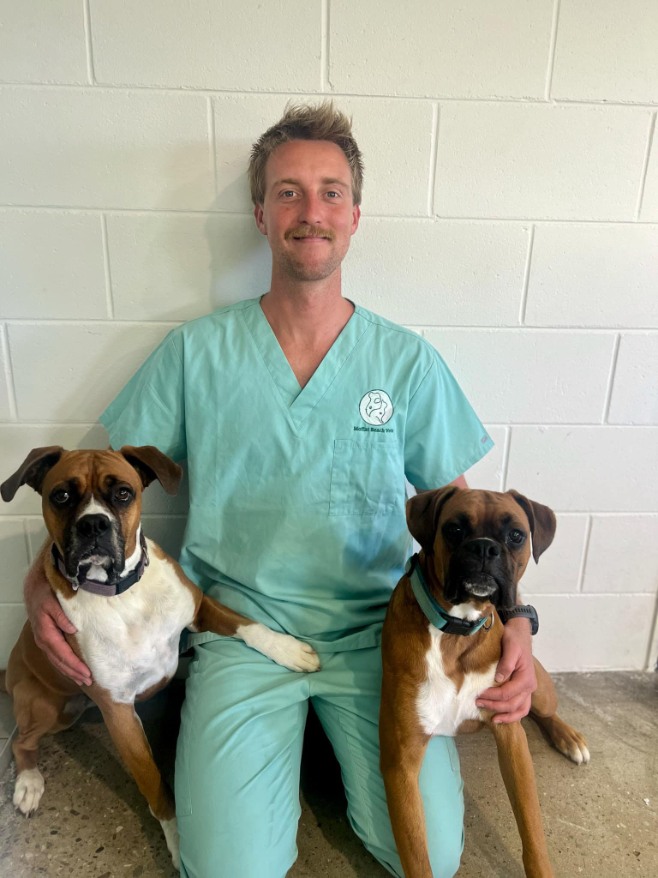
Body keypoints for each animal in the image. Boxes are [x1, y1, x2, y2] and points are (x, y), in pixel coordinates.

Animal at [0, 446, 318, 872]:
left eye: (123, 493)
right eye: (61, 496)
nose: (93, 524)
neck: (121, 596)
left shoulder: (200, 608)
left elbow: (247, 624)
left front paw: (288, 649)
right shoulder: (119, 714)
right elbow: (155, 786)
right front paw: (180, 842)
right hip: (48, 707)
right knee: (22, 741)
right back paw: (29, 783)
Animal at [376, 488, 588, 878]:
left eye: (516, 535)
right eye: (454, 529)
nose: (485, 548)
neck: (457, 630)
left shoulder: (511, 738)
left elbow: (532, 828)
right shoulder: (401, 766)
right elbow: (417, 857)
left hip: (537, 686)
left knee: (542, 711)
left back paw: (569, 738)